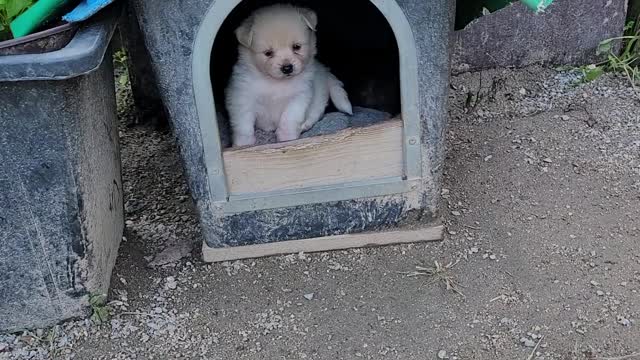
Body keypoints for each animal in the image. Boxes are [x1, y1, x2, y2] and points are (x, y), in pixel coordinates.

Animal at [226, 3, 356, 146]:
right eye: (268, 53)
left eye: (297, 47)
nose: (287, 68)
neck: (274, 82)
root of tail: (323, 69)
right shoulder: (242, 98)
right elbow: (243, 125)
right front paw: (243, 145)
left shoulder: (299, 97)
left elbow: (288, 119)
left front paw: (287, 138)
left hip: (319, 96)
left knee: (314, 113)